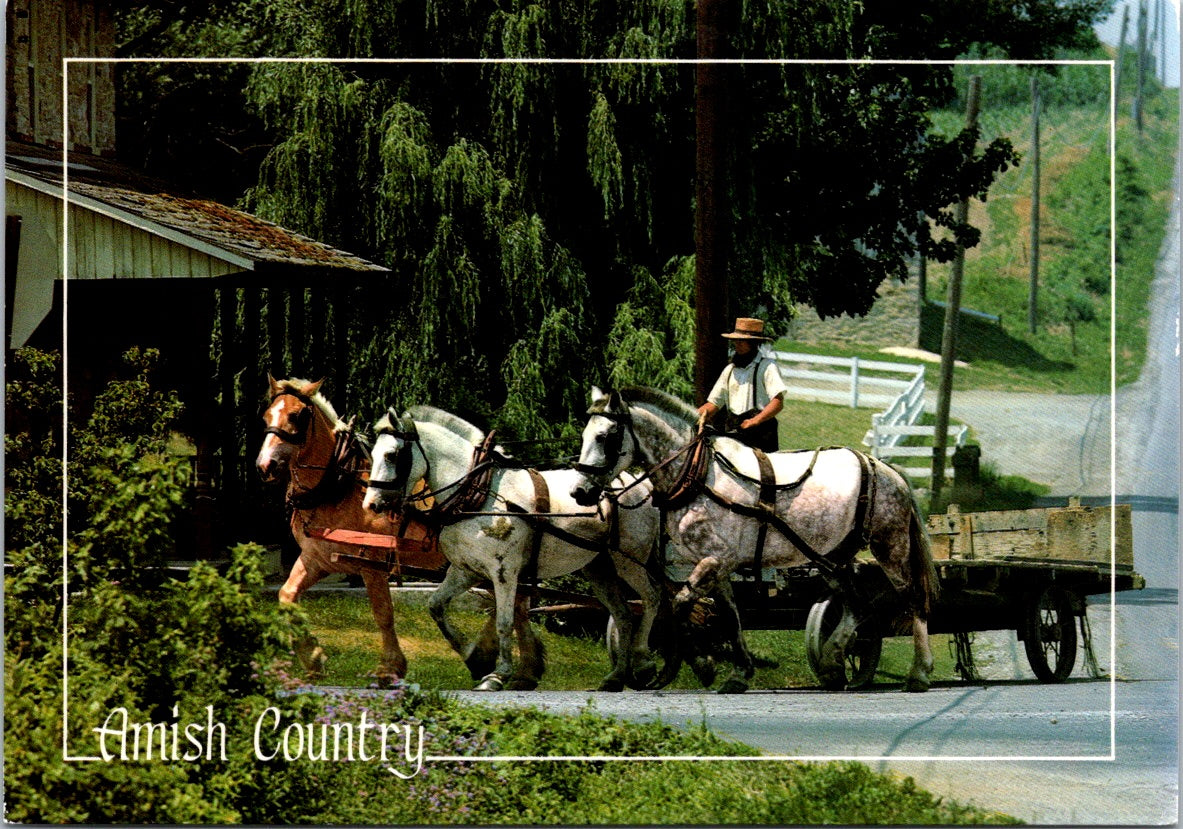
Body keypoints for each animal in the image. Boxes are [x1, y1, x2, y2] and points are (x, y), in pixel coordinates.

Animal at [256, 376, 541, 685]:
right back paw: (517, 664)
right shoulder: (316, 559)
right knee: (516, 604)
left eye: (297, 415)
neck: (339, 486)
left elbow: (383, 614)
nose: (265, 465)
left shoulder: (372, 564)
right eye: (266, 416)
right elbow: (287, 596)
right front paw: (313, 657)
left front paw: (390, 667)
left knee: (514, 603)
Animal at [357, 404, 667, 690]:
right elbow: (436, 606)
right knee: (623, 614)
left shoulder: (504, 572)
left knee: (652, 599)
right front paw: (476, 658)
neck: (478, 495)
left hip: (629, 562)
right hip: (599, 568)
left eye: (392, 455)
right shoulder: (465, 570)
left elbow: (504, 622)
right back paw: (616, 676)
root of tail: (640, 484)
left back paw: (643, 664)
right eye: (373, 453)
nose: (370, 504)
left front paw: (498, 674)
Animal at [567, 387, 936, 690]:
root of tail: (885, 469)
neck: (699, 474)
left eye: (606, 436)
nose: (580, 491)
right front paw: (739, 673)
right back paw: (833, 662)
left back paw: (919, 672)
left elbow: (680, 604)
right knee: (857, 605)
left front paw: (695, 665)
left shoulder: (717, 559)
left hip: (890, 547)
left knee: (913, 598)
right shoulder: (717, 565)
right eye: (585, 434)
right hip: (831, 558)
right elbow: (730, 616)